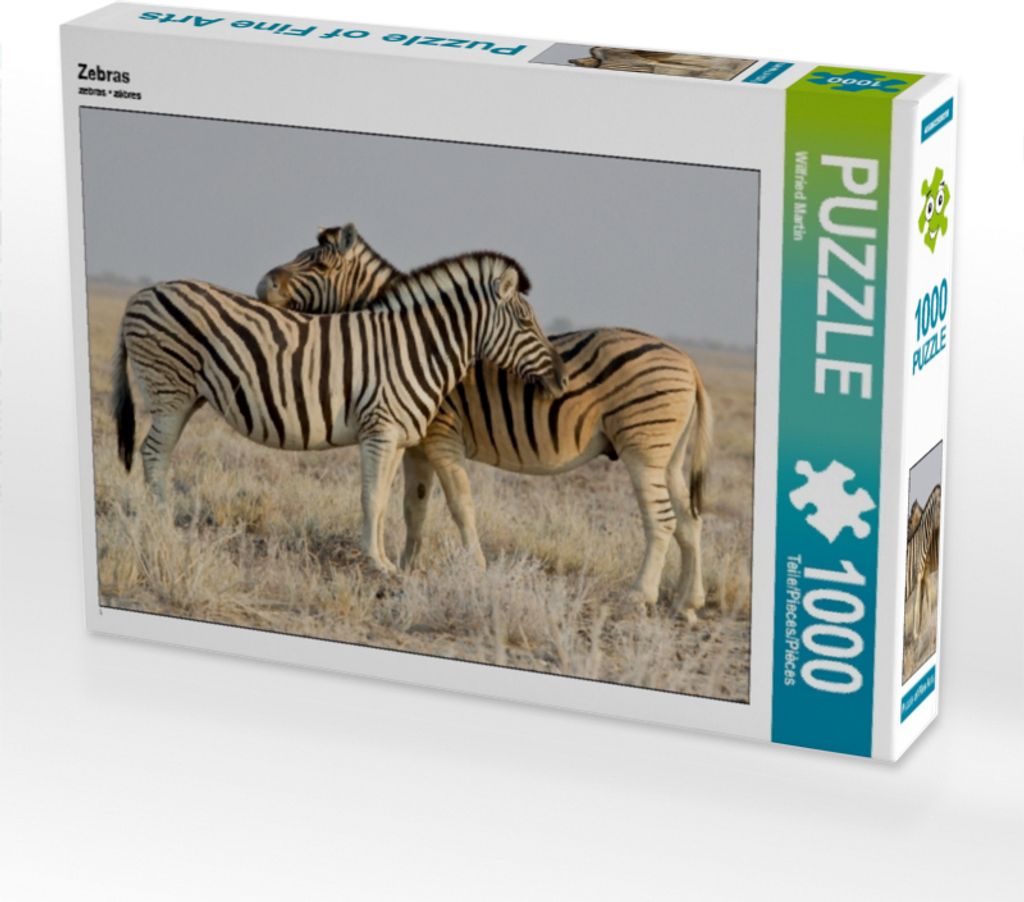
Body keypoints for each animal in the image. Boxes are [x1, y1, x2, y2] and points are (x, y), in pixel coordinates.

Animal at [112, 250, 568, 573]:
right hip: (169, 391)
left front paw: (384, 561)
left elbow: (383, 500)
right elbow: (372, 497)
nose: (562, 378)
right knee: (153, 454)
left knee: (158, 455)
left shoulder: (395, 436)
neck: (417, 349)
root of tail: (142, 293)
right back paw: (163, 528)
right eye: (526, 323)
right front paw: (377, 563)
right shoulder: (380, 430)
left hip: (187, 397)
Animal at [257, 225, 713, 616]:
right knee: (689, 520)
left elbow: (459, 504)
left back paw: (640, 596)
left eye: (319, 266)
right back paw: (687, 603)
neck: (405, 342)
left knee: (662, 520)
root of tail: (690, 362)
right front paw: (406, 567)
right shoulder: (416, 443)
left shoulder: (441, 435)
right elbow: (414, 507)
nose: (263, 285)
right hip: (669, 457)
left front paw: (466, 569)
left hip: (643, 449)